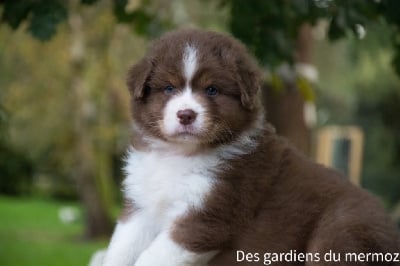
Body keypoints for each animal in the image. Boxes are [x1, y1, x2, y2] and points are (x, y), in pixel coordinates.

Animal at [104, 29, 400, 266]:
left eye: (212, 90)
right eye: (168, 88)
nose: (186, 114)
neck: (180, 155)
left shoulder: (208, 214)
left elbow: (151, 257)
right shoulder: (141, 206)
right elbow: (120, 249)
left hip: (338, 233)